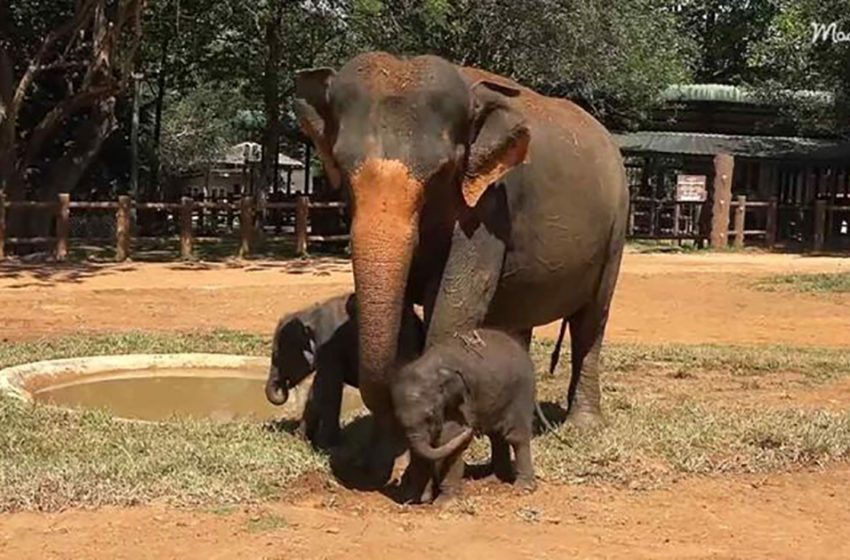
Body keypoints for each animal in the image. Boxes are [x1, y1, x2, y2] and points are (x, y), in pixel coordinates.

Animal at [264, 290, 424, 448]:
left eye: (277, 355)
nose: (283, 387)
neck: (309, 312)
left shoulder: (329, 345)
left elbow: (329, 388)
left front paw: (326, 445)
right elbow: (317, 388)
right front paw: (300, 439)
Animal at [294, 51, 628, 472]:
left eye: (441, 171)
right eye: (340, 163)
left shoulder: (489, 206)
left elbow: (453, 307)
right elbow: (404, 320)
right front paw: (385, 456)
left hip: (616, 230)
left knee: (590, 322)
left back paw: (581, 426)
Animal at [390, 328, 536, 504]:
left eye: (430, 415)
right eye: (398, 419)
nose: (470, 429)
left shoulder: (457, 406)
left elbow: (448, 441)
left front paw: (444, 503)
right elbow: (421, 450)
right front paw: (416, 500)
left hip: (520, 392)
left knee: (516, 437)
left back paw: (523, 487)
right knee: (497, 437)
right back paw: (493, 479)